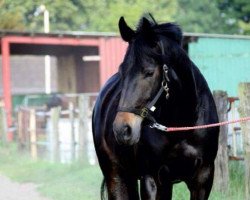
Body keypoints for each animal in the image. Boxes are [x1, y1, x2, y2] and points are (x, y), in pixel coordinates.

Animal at [92, 15, 219, 200]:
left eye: (149, 72)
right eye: (123, 72)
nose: (122, 130)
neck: (183, 125)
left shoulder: (203, 179)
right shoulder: (151, 179)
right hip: (116, 176)